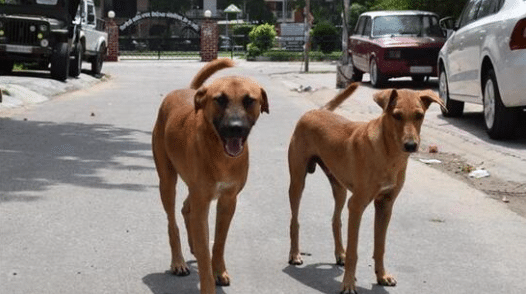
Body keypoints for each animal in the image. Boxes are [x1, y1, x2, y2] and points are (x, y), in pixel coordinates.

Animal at [152, 58, 268, 292]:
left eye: (249, 100)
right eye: (220, 100)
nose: (235, 128)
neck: (220, 154)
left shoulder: (228, 201)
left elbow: (219, 242)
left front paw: (219, 270)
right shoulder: (203, 203)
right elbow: (205, 252)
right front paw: (208, 283)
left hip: (194, 189)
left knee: (186, 208)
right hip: (167, 182)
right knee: (172, 222)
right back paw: (178, 261)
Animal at [288, 82, 446, 294]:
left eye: (419, 115)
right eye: (396, 115)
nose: (411, 145)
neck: (389, 154)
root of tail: (317, 111)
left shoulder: (385, 205)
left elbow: (380, 247)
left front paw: (382, 276)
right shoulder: (356, 205)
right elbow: (354, 251)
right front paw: (348, 284)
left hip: (340, 188)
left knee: (335, 220)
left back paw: (340, 254)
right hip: (298, 181)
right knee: (294, 220)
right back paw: (295, 254)